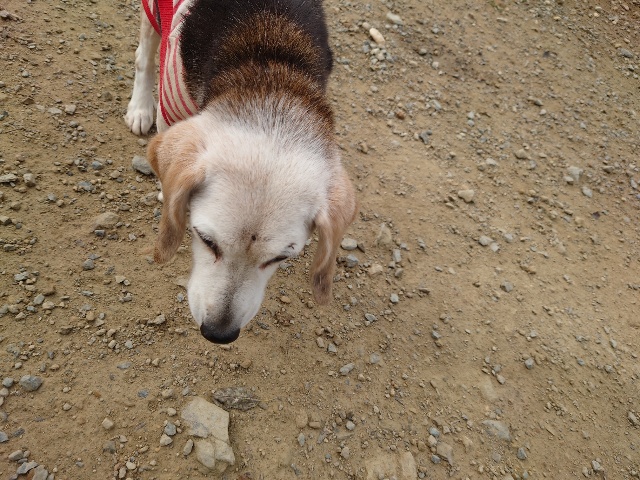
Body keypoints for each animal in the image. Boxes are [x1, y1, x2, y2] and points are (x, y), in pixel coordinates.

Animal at [124, 0, 357, 344]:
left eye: (280, 258)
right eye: (205, 240)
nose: (219, 334)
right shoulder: (173, 106)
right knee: (144, 53)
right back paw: (140, 107)